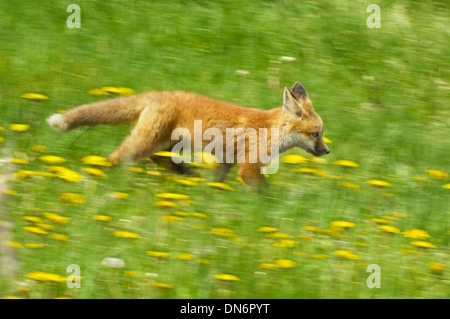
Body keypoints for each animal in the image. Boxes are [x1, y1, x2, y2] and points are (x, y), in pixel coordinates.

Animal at [47, 82, 328, 185]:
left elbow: (218, 183)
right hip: (144, 143)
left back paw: (186, 173)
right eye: (316, 134)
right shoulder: (249, 166)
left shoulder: (227, 160)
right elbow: (262, 193)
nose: (327, 150)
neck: (270, 130)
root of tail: (159, 94)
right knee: (117, 158)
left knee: (159, 160)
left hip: (163, 145)